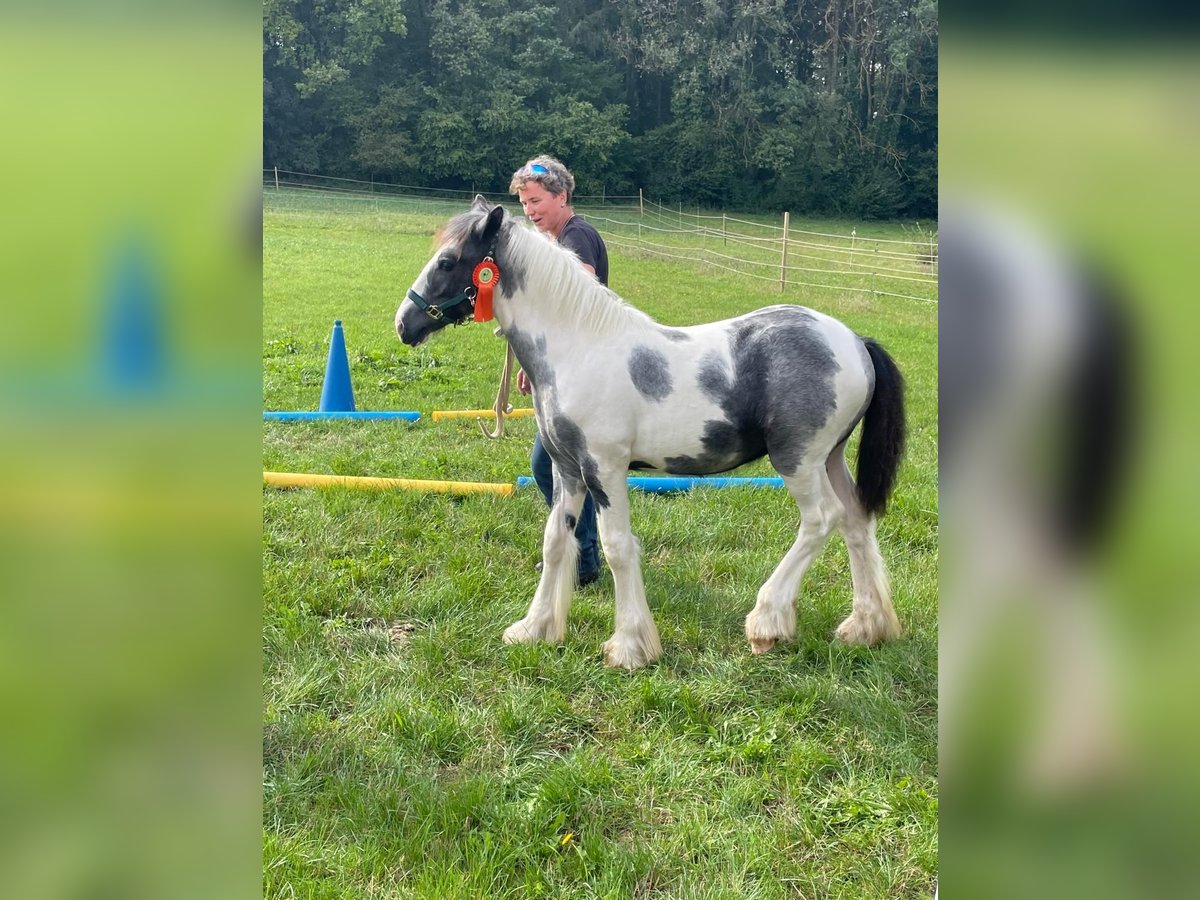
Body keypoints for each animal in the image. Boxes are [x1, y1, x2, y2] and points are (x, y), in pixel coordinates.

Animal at [398, 200, 902, 672]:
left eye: (447, 261)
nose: (404, 323)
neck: (578, 347)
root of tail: (856, 343)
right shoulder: (568, 469)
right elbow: (556, 540)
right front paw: (535, 628)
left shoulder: (605, 469)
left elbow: (618, 547)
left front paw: (630, 647)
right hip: (830, 459)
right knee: (856, 521)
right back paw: (865, 627)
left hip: (797, 461)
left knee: (821, 520)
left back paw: (767, 622)